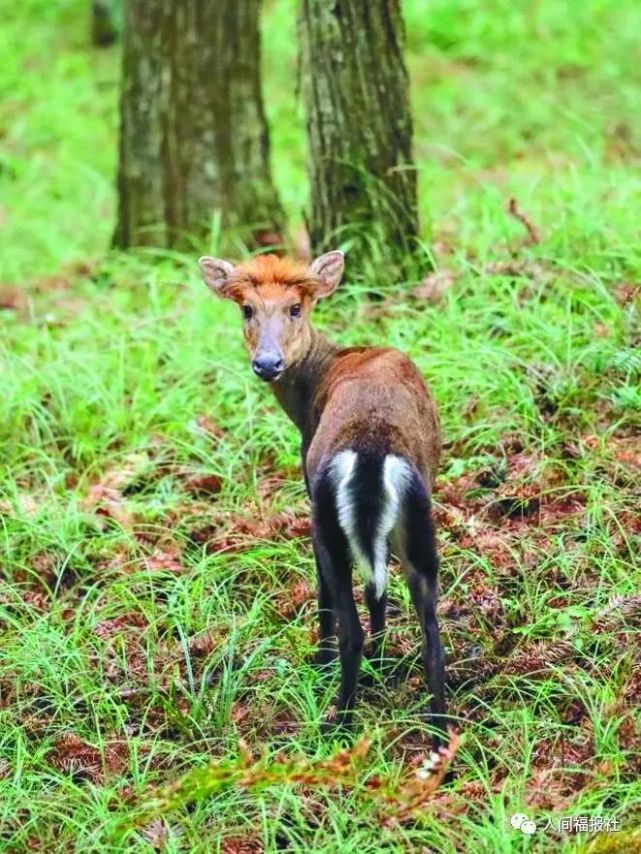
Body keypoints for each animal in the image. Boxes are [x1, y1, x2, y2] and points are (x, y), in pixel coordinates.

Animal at [199, 251, 444, 744]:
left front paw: (322, 659)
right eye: (247, 309)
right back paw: (441, 735)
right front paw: (384, 662)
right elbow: (376, 590)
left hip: (328, 518)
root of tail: (372, 450)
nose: (267, 363)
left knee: (350, 626)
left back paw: (340, 722)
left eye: (296, 307)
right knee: (431, 633)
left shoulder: (310, 494)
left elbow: (326, 592)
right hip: (417, 518)